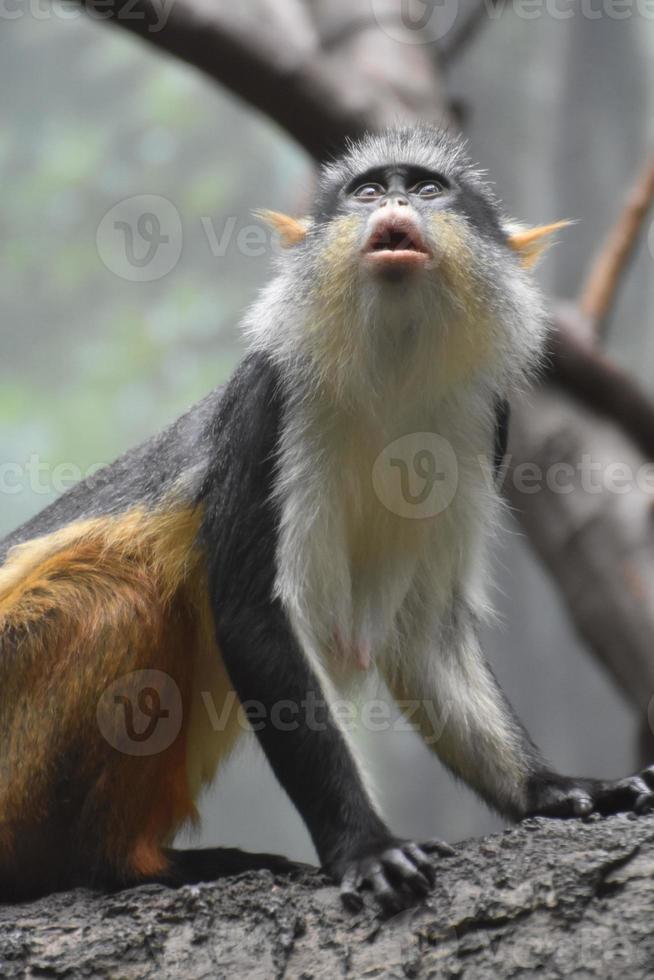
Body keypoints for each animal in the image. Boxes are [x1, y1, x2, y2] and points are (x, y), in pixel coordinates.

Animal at [1, 126, 654, 916]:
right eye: (367, 191)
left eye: (428, 189)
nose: (395, 206)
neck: (393, 365)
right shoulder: (272, 401)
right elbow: (253, 612)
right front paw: (367, 848)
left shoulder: (485, 423)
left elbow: (425, 631)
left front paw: (553, 789)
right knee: (114, 598)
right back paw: (122, 862)